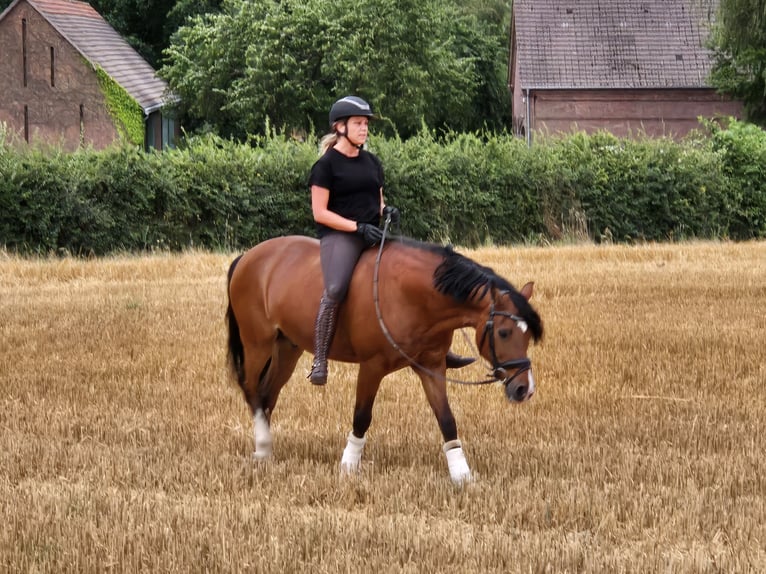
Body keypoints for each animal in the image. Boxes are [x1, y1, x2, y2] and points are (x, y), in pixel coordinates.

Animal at [225, 235, 543, 483]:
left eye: (527, 335)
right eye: (503, 332)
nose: (524, 389)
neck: (415, 295)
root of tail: (247, 257)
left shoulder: (431, 366)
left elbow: (446, 418)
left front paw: (461, 474)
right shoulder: (372, 366)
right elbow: (362, 415)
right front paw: (348, 465)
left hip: (288, 347)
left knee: (268, 394)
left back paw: (266, 447)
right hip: (258, 343)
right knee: (252, 389)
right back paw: (262, 445)